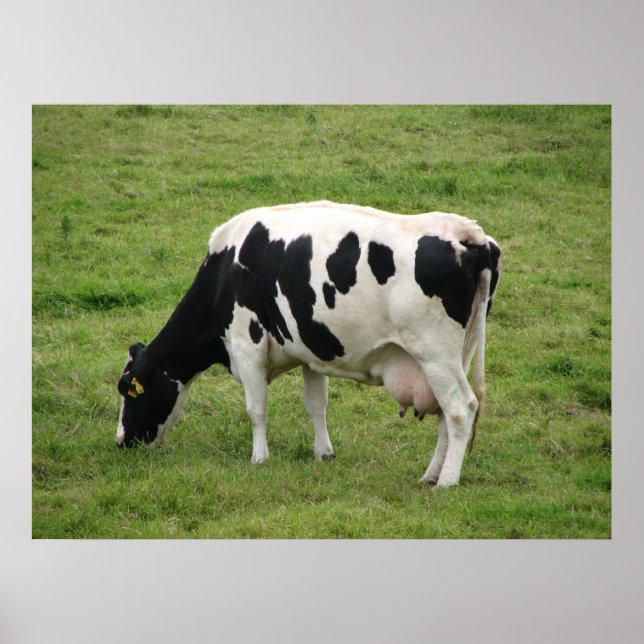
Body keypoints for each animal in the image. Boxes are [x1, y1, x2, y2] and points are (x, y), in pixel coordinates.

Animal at [116, 200, 501, 488]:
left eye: (127, 390)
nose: (121, 442)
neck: (225, 270)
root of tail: (468, 233)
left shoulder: (246, 343)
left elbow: (256, 410)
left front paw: (259, 458)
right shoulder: (310, 350)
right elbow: (317, 405)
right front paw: (324, 453)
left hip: (435, 353)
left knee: (460, 407)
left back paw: (446, 481)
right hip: (456, 355)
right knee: (444, 414)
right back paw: (430, 475)